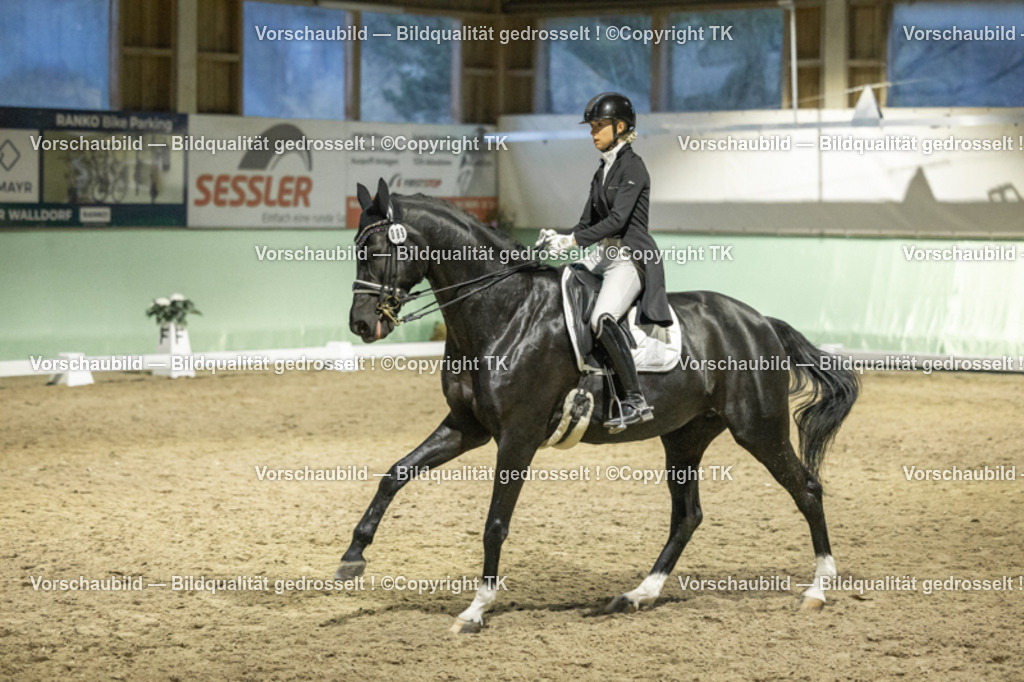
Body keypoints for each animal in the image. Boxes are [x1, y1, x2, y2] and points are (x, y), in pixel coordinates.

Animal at [336, 178, 859, 634]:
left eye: (376, 251)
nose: (361, 324)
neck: (505, 310)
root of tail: (760, 322)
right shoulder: (468, 426)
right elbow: (396, 473)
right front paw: (352, 558)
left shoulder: (518, 437)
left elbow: (494, 524)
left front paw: (476, 610)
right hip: (685, 437)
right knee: (687, 516)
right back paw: (637, 595)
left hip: (758, 429)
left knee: (807, 490)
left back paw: (818, 589)